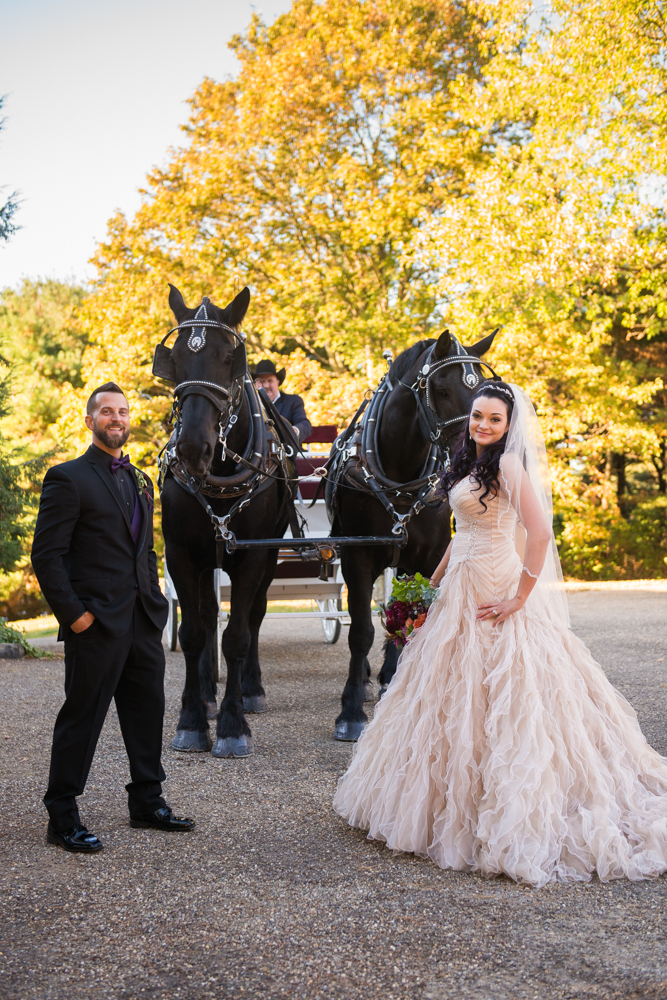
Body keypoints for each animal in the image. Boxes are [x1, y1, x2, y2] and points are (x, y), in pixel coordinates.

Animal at [159, 286, 292, 752]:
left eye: (229, 357)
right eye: (176, 357)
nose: (192, 449)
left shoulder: (252, 556)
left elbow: (236, 635)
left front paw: (234, 725)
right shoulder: (181, 554)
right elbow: (194, 633)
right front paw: (192, 719)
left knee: (254, 616)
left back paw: (249, 690)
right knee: (206, 613)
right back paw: (207, 694)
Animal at [326, 330, 498, 744]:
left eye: (482, 389)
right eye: (442, 388)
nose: (472, 451)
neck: (400, 475)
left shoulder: (426, 555)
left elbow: (411, 615)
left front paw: (397, 681)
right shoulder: (357, 557)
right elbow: (361, 630)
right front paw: (350, 710)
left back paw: (390, 675)